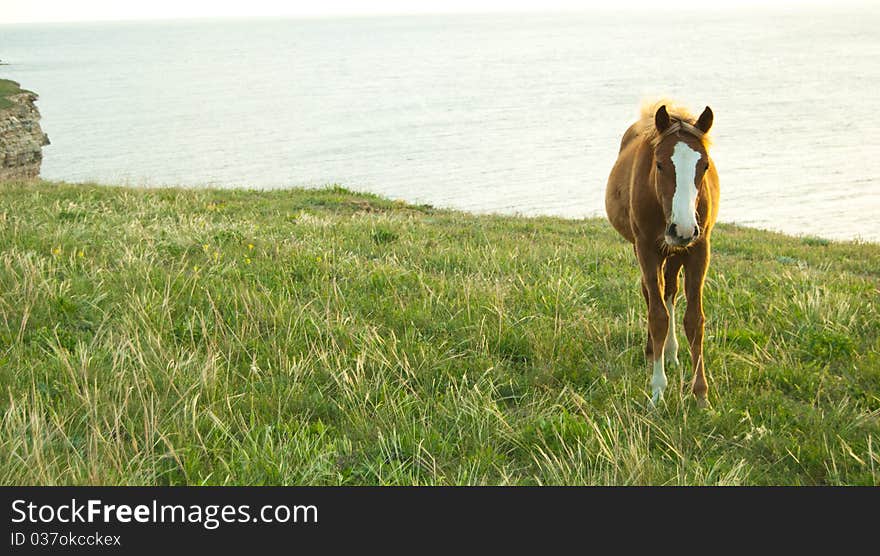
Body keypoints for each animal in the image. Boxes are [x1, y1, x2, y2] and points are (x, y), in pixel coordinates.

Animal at [604, 100, 720, 406]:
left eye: (704, 165)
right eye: (659, 164)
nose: (683, 228)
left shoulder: (698, 250)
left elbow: (694, 319)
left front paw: (701, 394)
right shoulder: (647, 249)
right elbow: (658, 316)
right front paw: (657, 391)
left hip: (677, 252)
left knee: (669, 291)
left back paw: (670, 352)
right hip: (649, 248)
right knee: (650, 292)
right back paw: (651, 353)